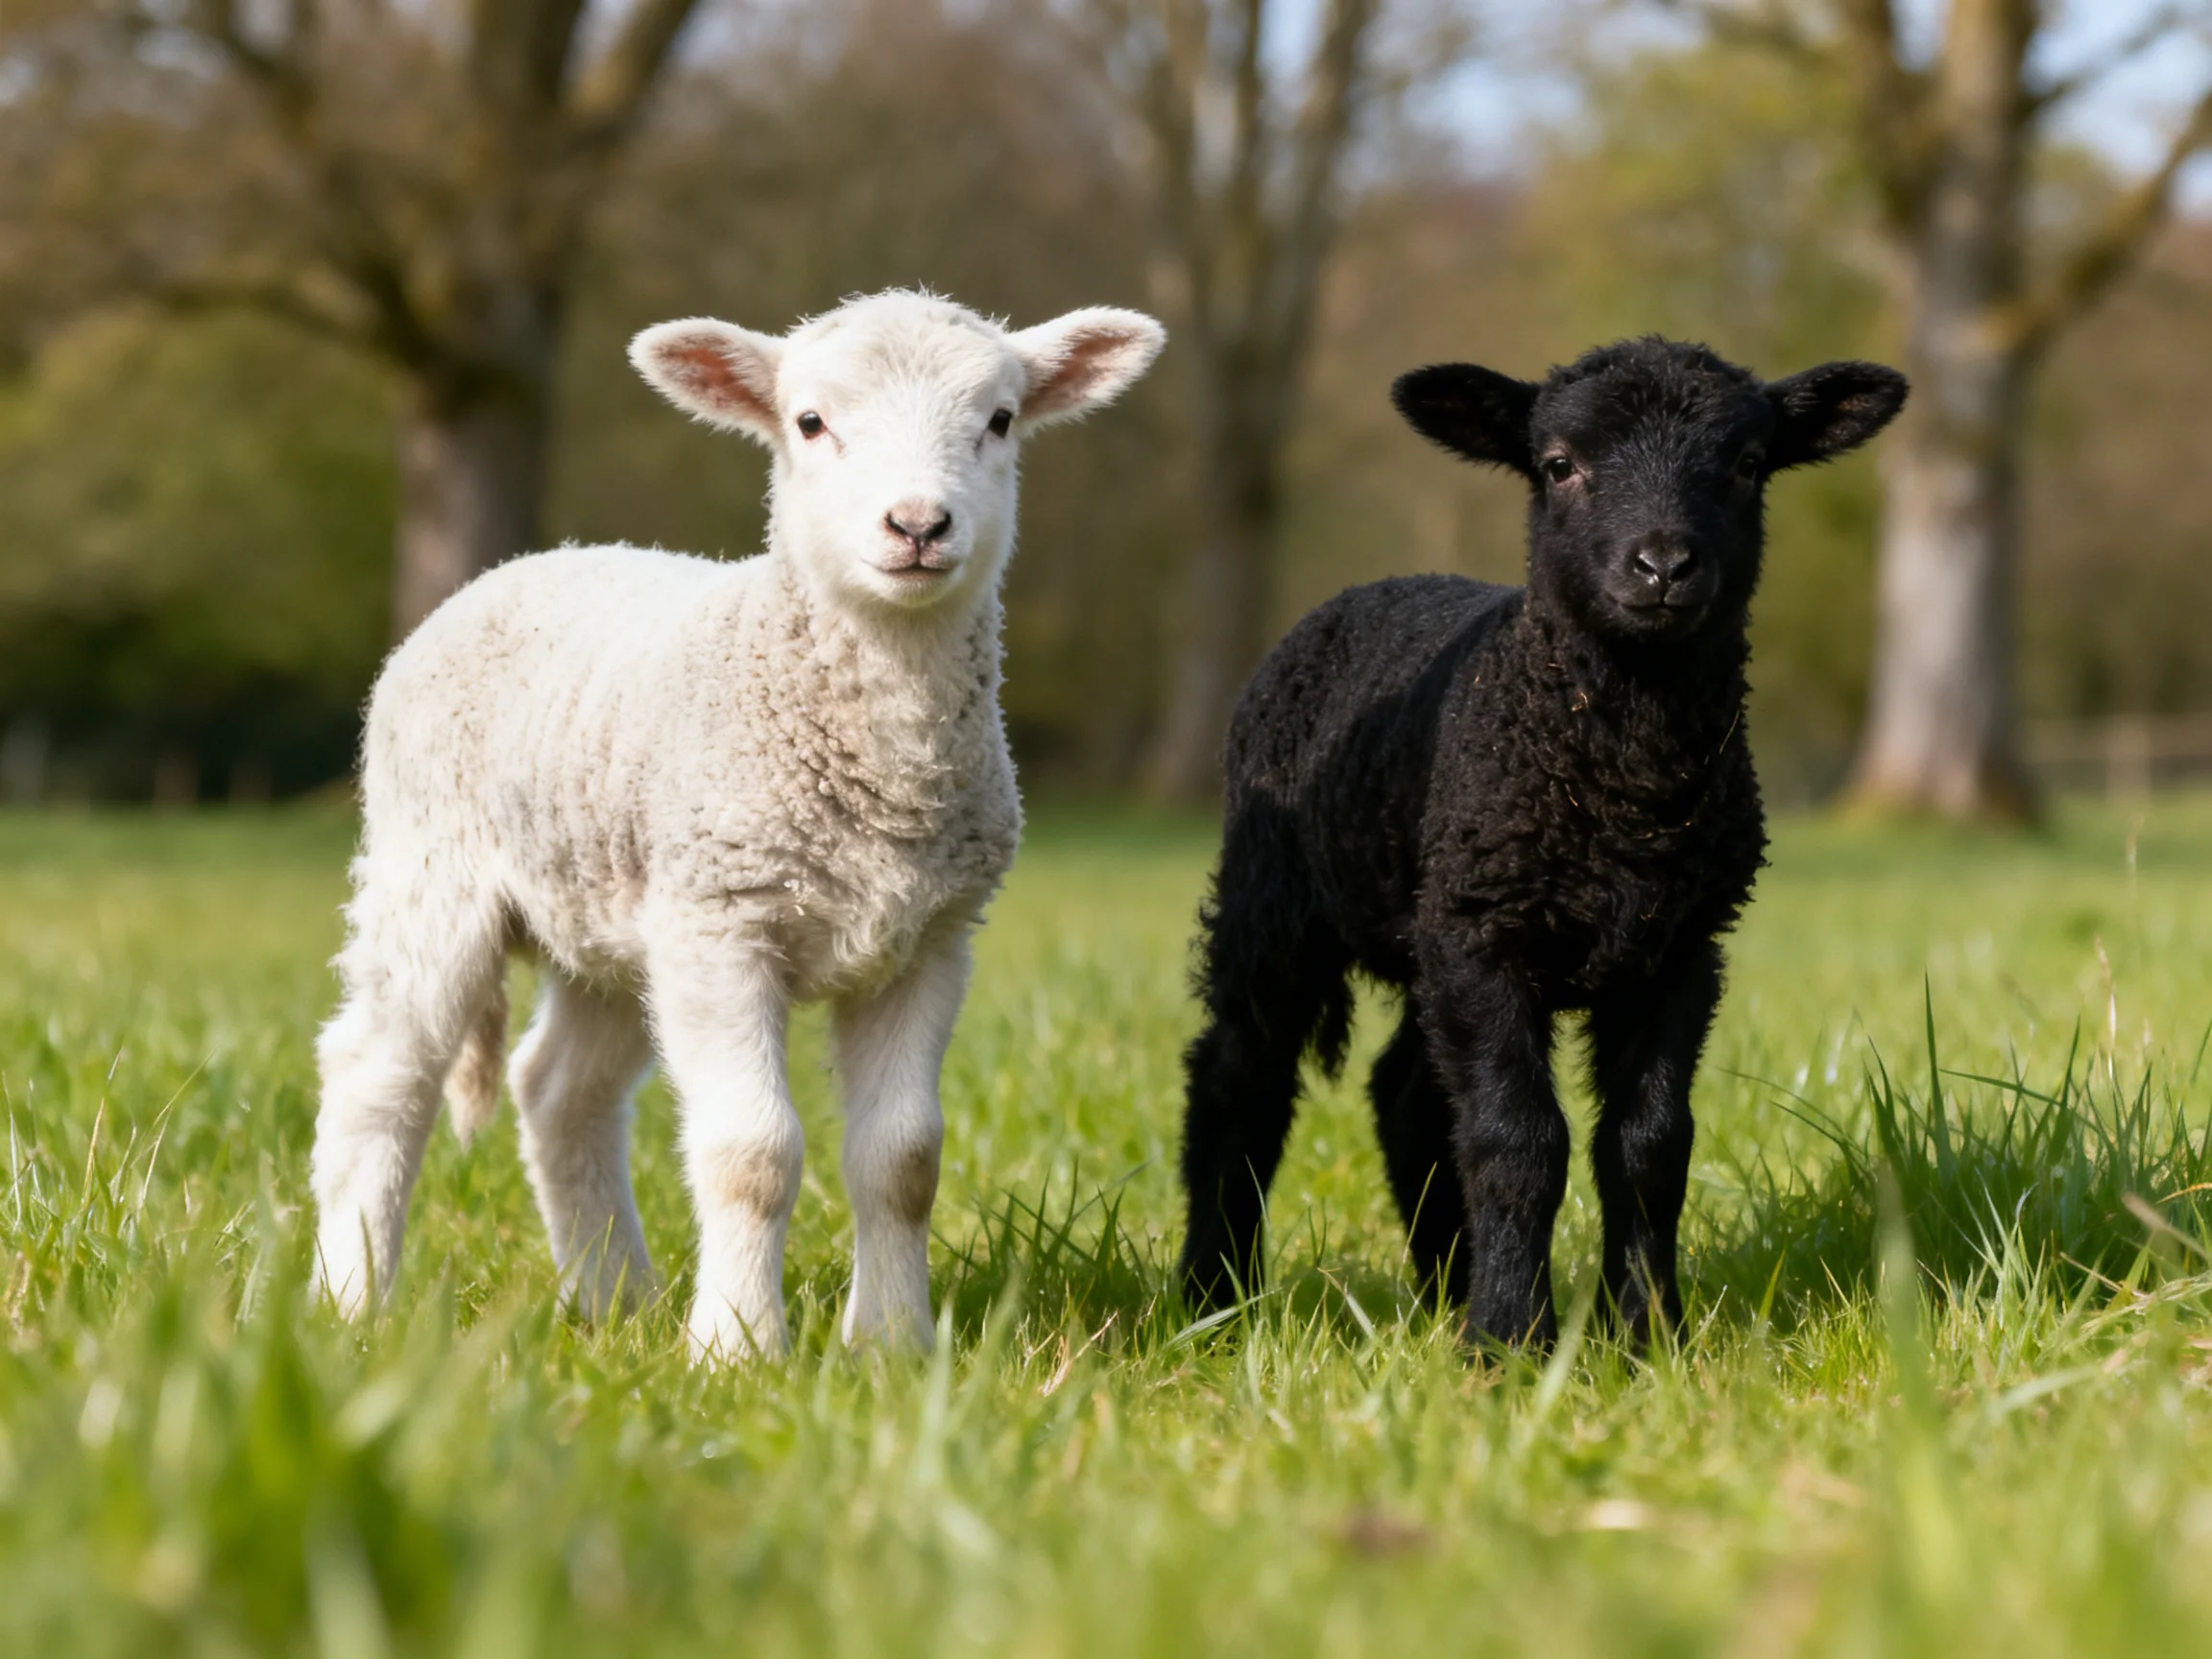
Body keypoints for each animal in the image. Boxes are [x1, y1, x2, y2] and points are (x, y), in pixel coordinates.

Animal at [311, 289, 1165, 1360]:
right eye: (810, 422)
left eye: (1002, 421)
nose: (919, 524)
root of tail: (529, 562)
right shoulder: (723, 922)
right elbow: (751, 1153)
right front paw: (739, 1350)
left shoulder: (930, 937)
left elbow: (904, 1158)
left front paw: (892, 1348)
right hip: (429, 866)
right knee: (380, 1074)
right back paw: (351, 1303)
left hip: (617, 919)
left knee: (558, 1091)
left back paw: (616, 1301)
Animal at [1175, 337, 1907, 1350]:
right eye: (1560, 465)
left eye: (1749, 464)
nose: (1663, 566)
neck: (1625, 792)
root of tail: (1370, 589)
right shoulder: (1489, 936)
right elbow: (1517, 1141)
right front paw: (1513, 1343)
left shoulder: (1678, 950)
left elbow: (1648, 1145)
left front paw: (1649, 1336)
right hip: (1278, 905)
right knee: (1238, 1081)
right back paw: (1215, 1300)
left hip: (1431, 924)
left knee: (1407, 1095)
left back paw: (1444, 1290)